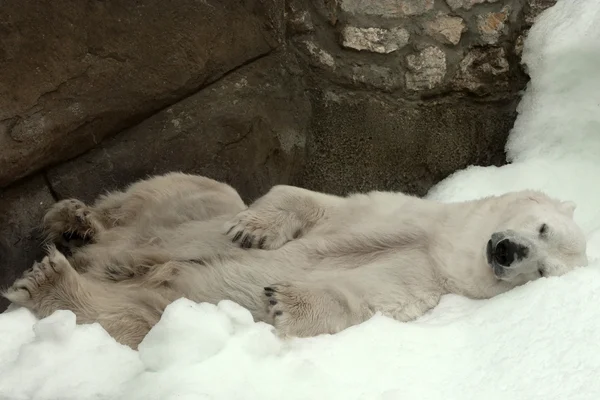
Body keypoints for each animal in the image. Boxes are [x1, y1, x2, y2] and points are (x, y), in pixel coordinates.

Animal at [0, 173, 588, 348]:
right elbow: (309, 201)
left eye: (543, 271)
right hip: (171, 216)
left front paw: (285, 302)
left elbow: (367, 299)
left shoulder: (424, 282)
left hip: (163, 299)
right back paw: (74, 223)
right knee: (183, 196)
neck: (440, 242)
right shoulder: (396, 211)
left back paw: (52, 280)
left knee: (129, 319)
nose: (508, 251)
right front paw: (252, 230)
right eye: (542, 228)